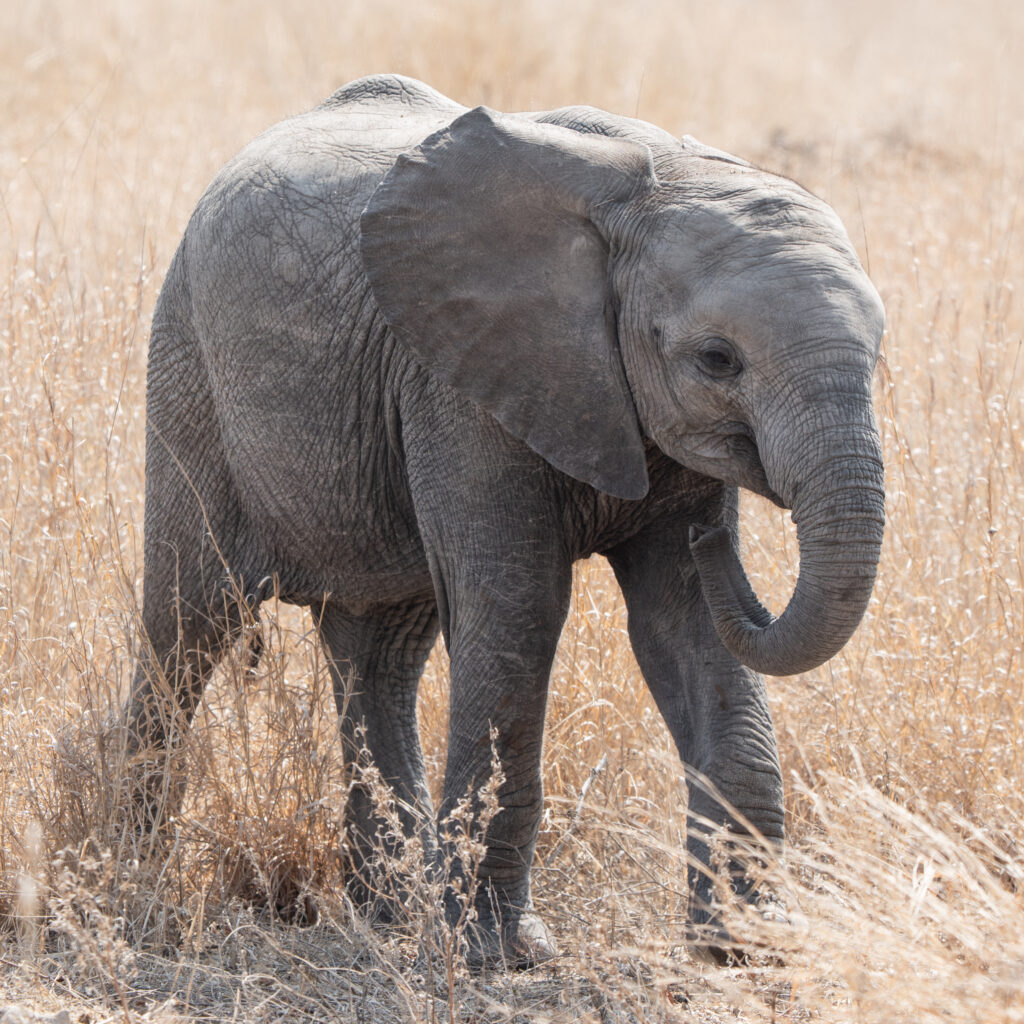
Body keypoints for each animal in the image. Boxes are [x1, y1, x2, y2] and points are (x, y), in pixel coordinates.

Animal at [125, 73, 885, 967]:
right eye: (717, 360)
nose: (718, 538)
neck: (650, 195)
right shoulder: (460, 378)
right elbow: (519, 607)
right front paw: (499, 955)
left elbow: (685, 627)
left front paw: (745, 952)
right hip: (187, 364)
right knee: (188, 624)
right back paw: (128, 878)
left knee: (379, 650)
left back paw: (391, 916)